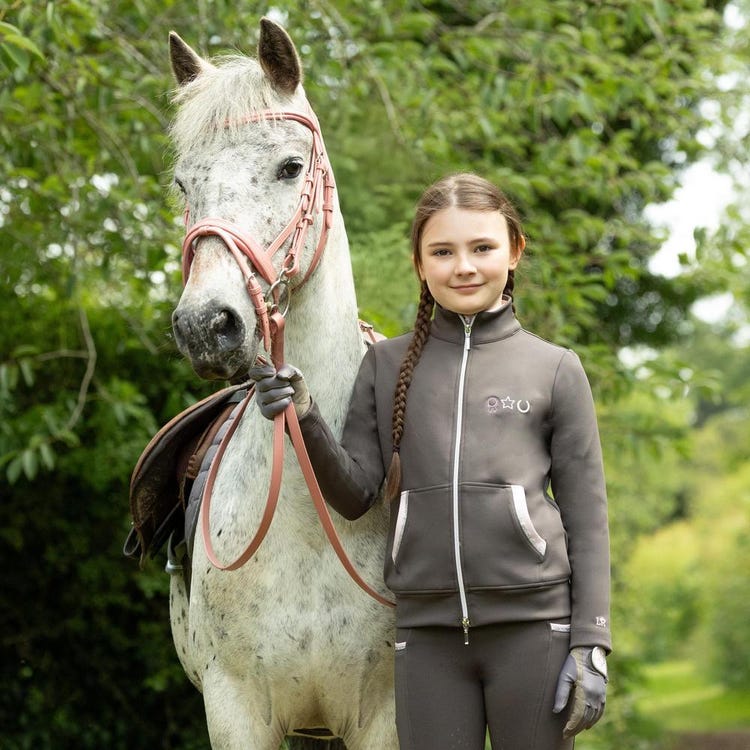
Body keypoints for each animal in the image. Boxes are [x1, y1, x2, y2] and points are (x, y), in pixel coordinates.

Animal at [164, 18, 397, 750]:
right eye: (183, 184)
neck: (306, 513)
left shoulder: (385, 715)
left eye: (290, 168)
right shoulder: (235, 708)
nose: (205, 325)